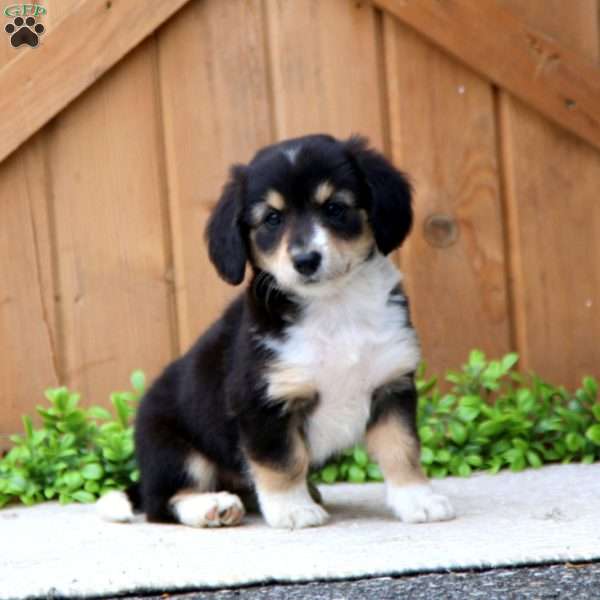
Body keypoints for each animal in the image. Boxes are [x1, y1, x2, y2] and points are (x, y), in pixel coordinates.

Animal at [98, 135, 454, 528]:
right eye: (271, 218)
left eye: (334, 207)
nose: (306, 260)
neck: (335, 308)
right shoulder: (264, 402)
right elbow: (283, 461)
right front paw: (293, 509)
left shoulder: (391, 386)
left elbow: (401, 451)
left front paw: (419, 501)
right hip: (174, 449)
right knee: (163, 503)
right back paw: (213, 506)